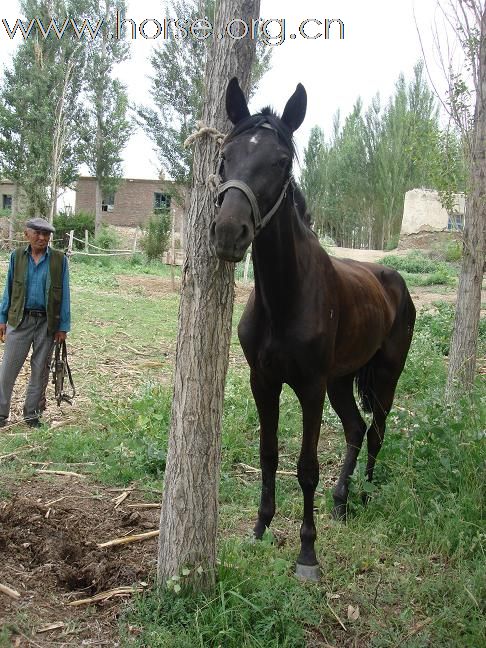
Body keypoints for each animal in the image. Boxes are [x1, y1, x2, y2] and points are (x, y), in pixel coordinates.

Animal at [210, 77, 418, 584]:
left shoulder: (309, 388)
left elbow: (306, 467)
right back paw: (340, 501)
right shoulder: (264, 381)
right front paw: (261, 530)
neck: (285, 297)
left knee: (376, 431)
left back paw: (364, 495)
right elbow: (268, 453)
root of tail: (395, 282)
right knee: (356, 429)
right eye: (226, 154)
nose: (228, 233)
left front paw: (307, 554)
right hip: (341, 382)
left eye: (281, 162)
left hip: (384, 377)